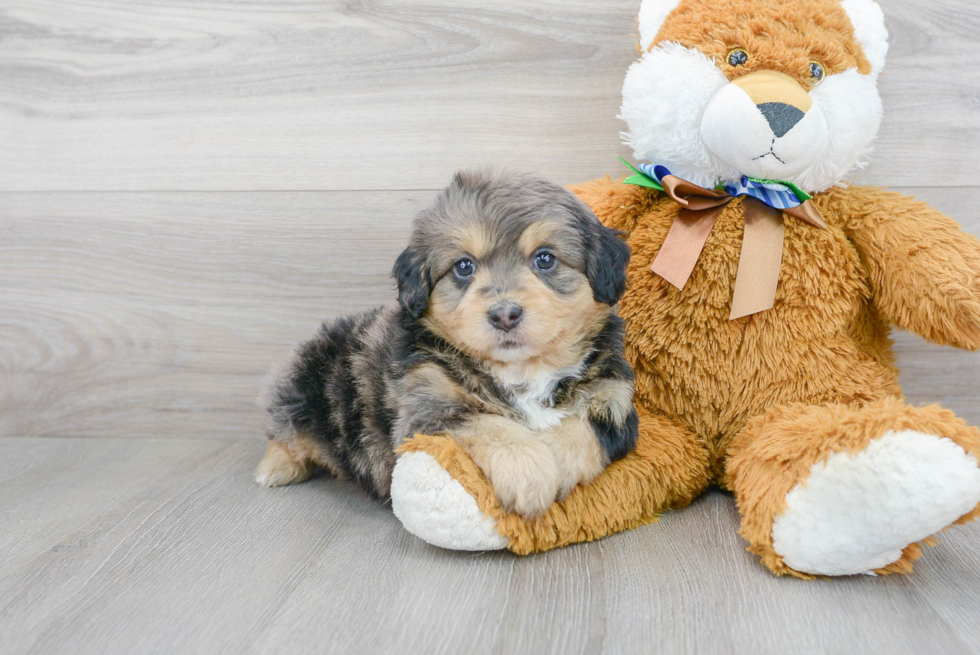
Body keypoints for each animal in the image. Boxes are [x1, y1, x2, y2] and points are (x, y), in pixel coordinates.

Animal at [253, 172, 640, 520]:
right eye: (463, 266)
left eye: (545, 259)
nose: (504, 314)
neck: (522, 370)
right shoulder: (425, 407)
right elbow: (487, 422)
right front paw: (528, 472)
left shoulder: (616, 400)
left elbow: (583, 427)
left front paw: (554, 459)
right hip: (300, 390)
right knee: (284, 433)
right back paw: (274, 468)